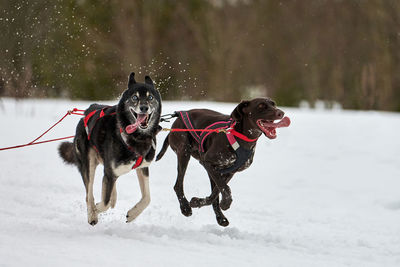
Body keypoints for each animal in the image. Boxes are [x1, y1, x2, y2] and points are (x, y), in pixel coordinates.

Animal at [156, 97, 290, 227]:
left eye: (274, 104)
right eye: (261, 105)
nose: (281, 113)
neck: (242, 137)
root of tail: (177, 119)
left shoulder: (229, 172)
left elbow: (216, 193)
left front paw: (198, 202)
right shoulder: (207, 162)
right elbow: (225, 189)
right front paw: (225, 203)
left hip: (210, 170)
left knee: (213, 196)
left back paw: (220, 218)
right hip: (184, 153)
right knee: (178, 185)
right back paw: (185, 207)